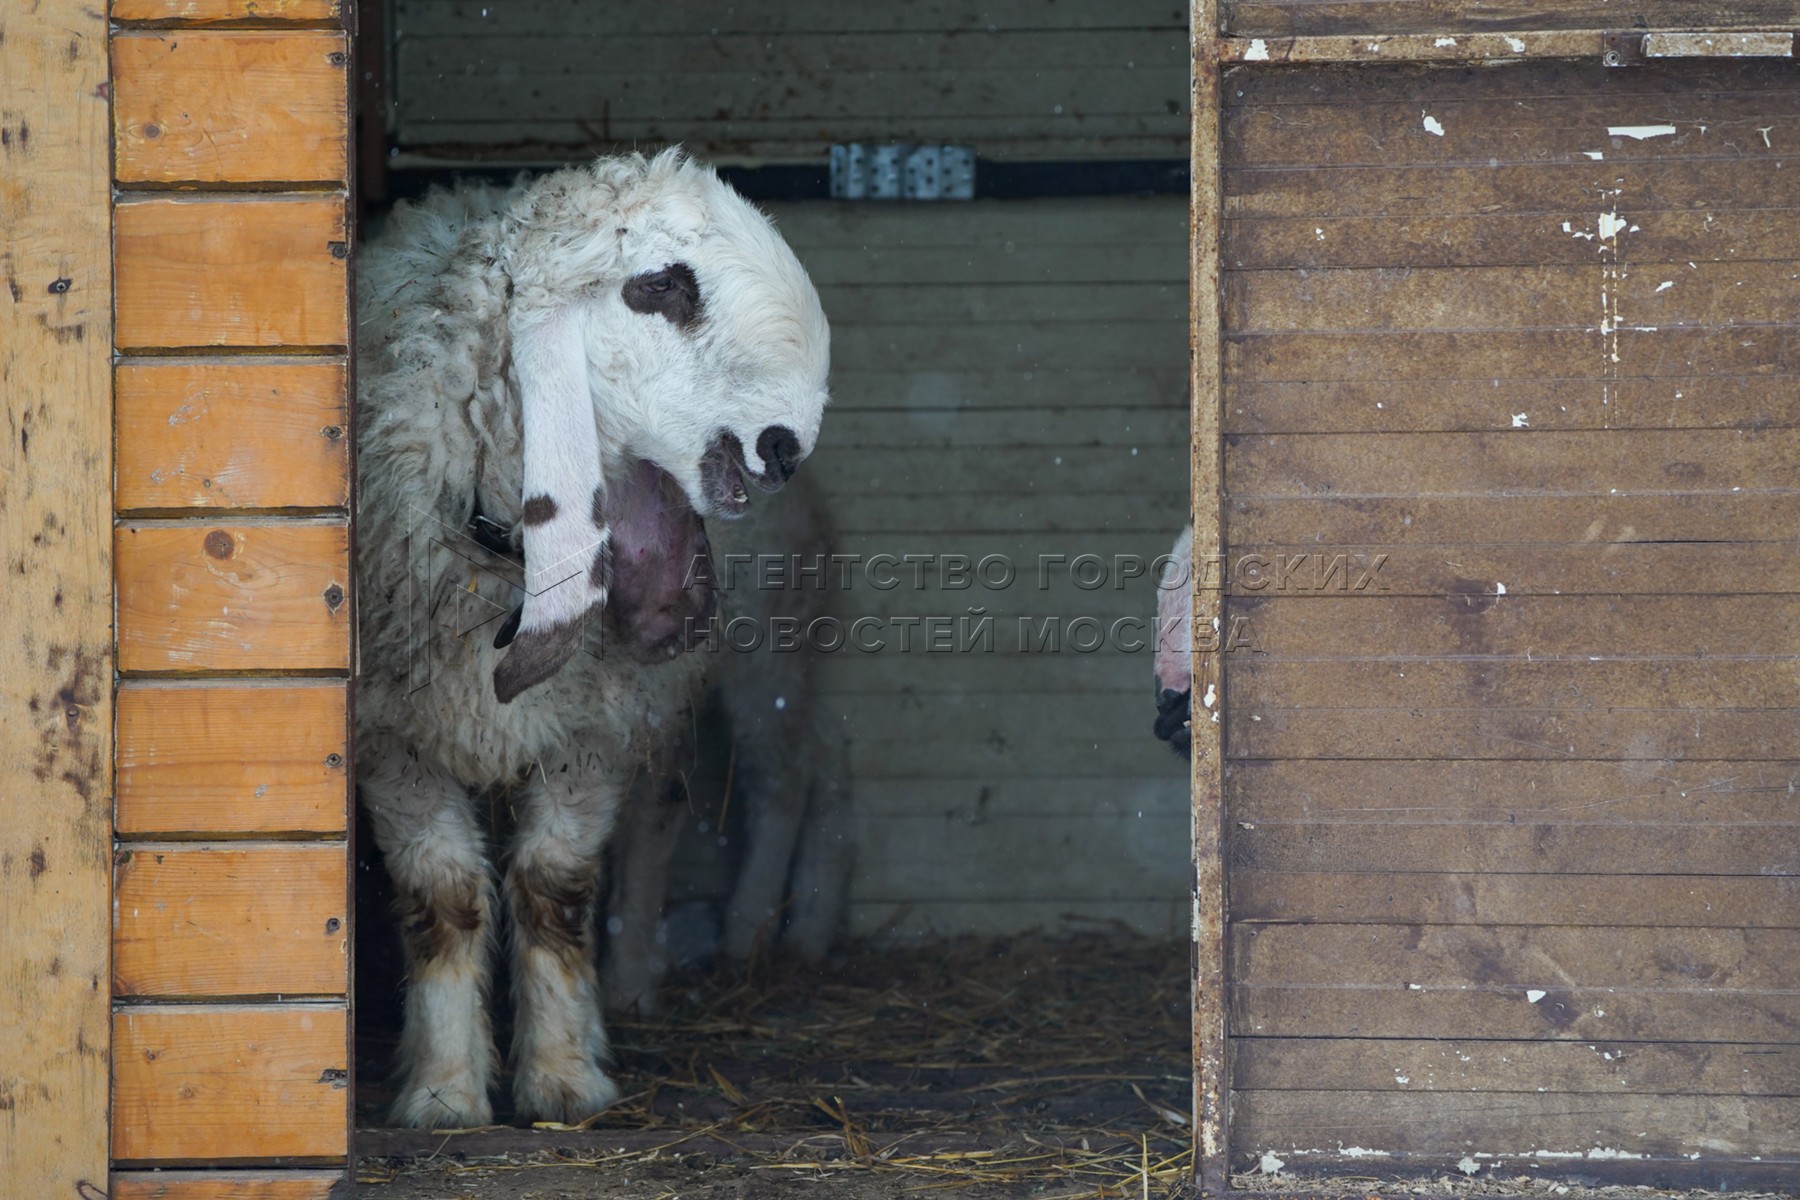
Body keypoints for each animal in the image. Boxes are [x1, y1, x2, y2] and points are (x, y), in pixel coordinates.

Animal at [354, 147, 831, 1129]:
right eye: (662, 286)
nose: (785, 445)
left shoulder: (590, 729)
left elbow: (553, 886)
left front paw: (565, 1078)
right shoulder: (390, 731)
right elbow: (443, 896)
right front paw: (444, 1090)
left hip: (771, 645)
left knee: (771, 779)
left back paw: (734, 936)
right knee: (673, 804)